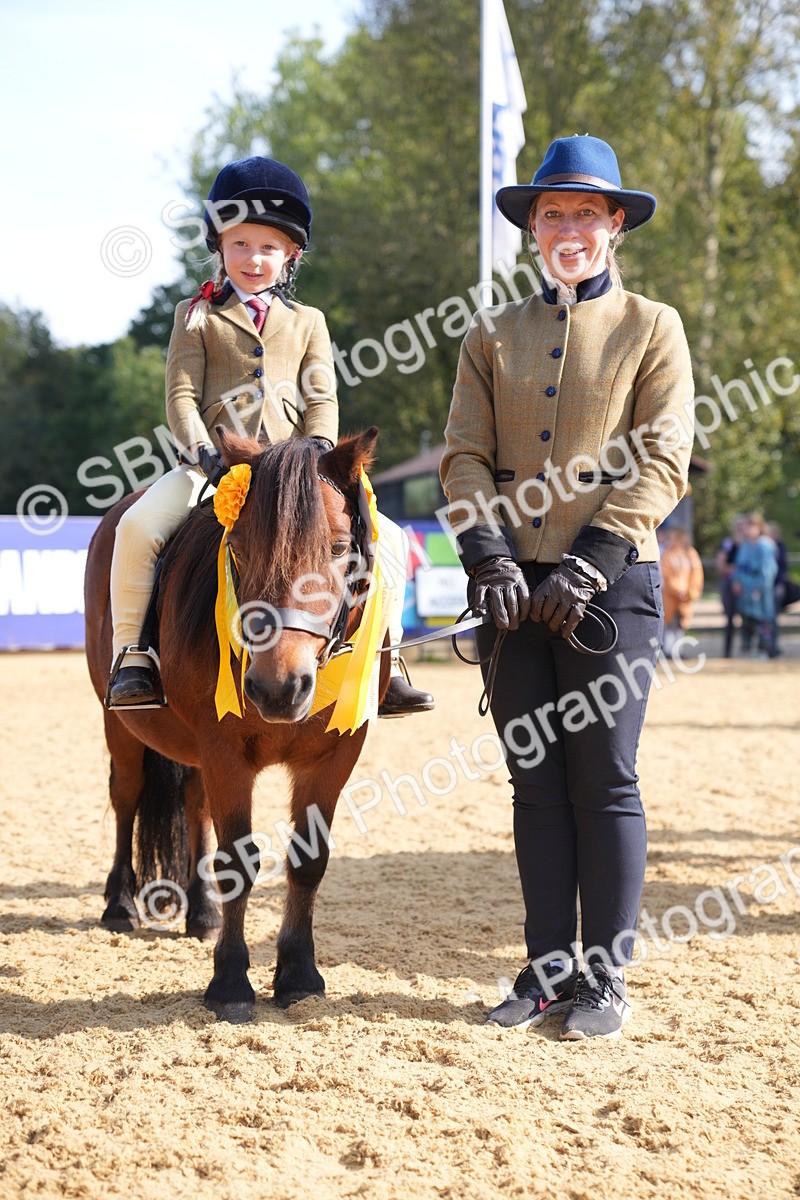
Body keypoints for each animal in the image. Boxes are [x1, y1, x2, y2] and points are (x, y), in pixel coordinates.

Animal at [84, 427, 389, 1022]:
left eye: (340, 547)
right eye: (240, 550)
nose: (277, 689)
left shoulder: (336, 754)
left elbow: (308, 861)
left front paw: (298, 975)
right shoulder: (225, 750)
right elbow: (237, 863)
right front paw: (229, 982)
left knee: (193, 804)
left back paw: (201, 914)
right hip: (121, 726)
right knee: (126, 795)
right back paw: (119, 904)